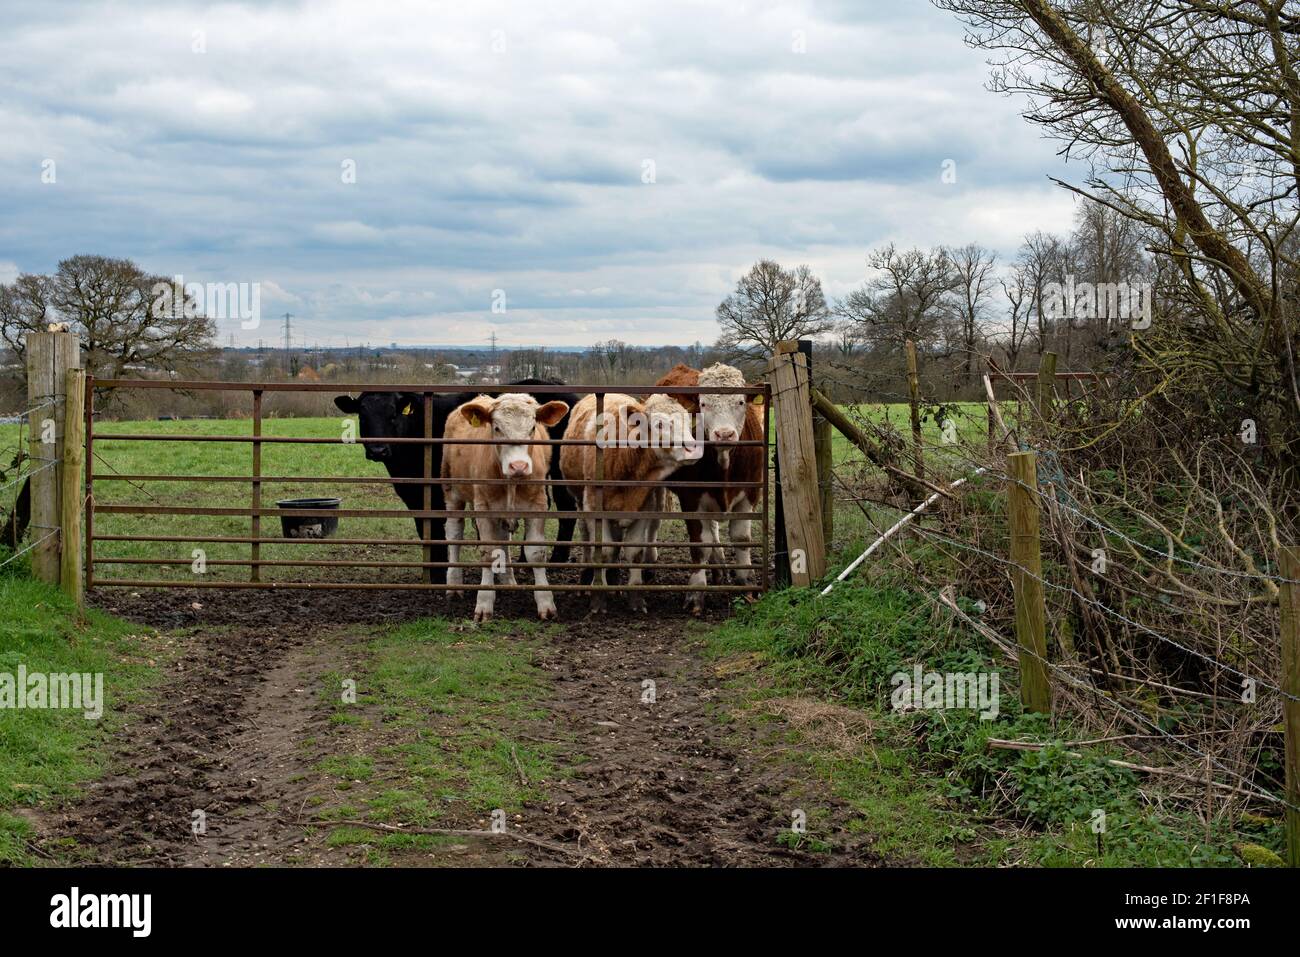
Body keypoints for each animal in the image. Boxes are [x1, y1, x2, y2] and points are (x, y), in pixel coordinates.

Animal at [335, 374, 579, 582]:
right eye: (363, 415)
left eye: (393, 414)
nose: (378, 450)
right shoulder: (414, 494)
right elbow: (424, 528)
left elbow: (436, 529)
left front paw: (438, 573)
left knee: (567, 508)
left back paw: (557, 558)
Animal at [441, 395, 569, 624]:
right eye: (497, 428)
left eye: (533, 427)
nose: (518, 466)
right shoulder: (483, 507)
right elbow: (488, 553)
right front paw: (484, 602)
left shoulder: (537, 505)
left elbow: (535, 553)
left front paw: (546, 603)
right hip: (452, 491)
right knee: (455, 533)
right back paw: (454, 584)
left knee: (503, 540)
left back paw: (508, 579)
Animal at [559, 395, 702, 613]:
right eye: (659, 424)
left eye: (687, 421)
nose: (692, 449)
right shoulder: (593, 507)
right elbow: (603, 551)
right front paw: (598, 598)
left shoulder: (644, 507)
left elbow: (634, 552)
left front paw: (635, 599)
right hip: (579, 500)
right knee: (586, 538)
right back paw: (587, 576)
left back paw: (614, 581)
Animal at [655, 361, 764, 616]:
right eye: (704, 404)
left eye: (740, 402)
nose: (724, 434)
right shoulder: (691, 498)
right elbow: (700, 545)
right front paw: (696, 593)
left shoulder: (750, 494)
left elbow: (742, 539)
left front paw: (747, 586)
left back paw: (720, 568)